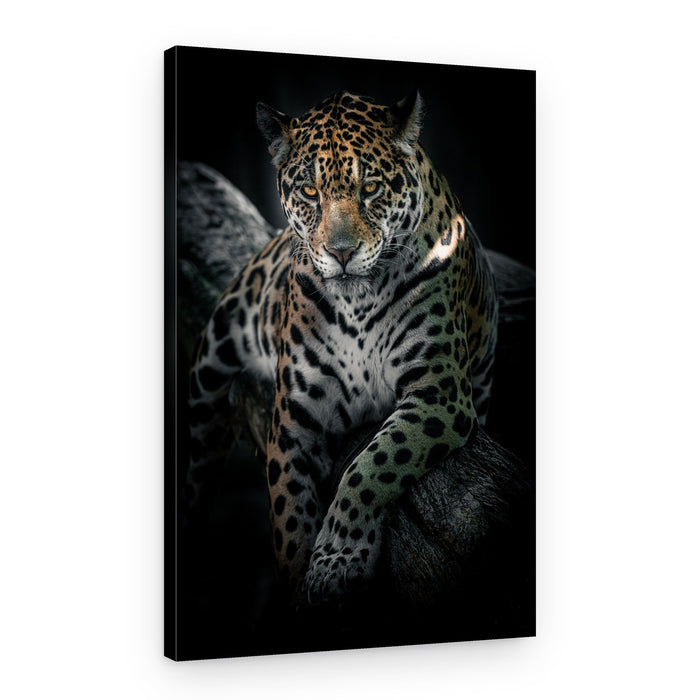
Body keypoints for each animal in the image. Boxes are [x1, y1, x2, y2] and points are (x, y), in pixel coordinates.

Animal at [184, 90, 498, 605]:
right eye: (310, 193)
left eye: (370, 188)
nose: (341, 252)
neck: (358, 302)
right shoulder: (293, 420)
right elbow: (289, 520)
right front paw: (303, 579)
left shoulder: (439, 392)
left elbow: (374, 465)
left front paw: (337, 560)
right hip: (209, 368)